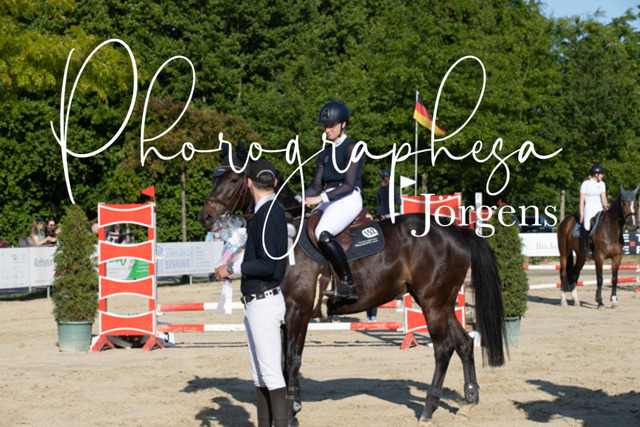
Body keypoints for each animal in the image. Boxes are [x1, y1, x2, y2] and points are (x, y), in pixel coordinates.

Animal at [197, 153, 506, 425]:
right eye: (214, 178)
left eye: (234, 179)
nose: (205, 217)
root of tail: (456, 230)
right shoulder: (282, 314)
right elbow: (283, 363)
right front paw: (290, 407)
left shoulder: (298, 312)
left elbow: (292, 361)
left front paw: (293, 411)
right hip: (442, 303)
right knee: (464, 343)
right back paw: (468, 402)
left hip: (432, 303)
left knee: (443, 349)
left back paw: (428, 410)